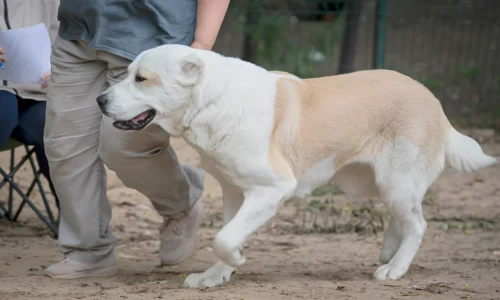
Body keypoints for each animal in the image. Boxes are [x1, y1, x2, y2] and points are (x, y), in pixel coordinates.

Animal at [95, 44, 498, 288]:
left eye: (141, 79)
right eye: (127, 73)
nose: (100, 100)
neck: (212, 101)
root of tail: (434, 102)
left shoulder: (272, 188)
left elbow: (225, 238)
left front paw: (236, 259)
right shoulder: (233, 192)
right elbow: (225, 233)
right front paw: (216, 275)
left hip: (395, 181)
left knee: (418, 223)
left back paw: (396, 268)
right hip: (378, 184)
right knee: (406, 217)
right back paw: (390, 253)